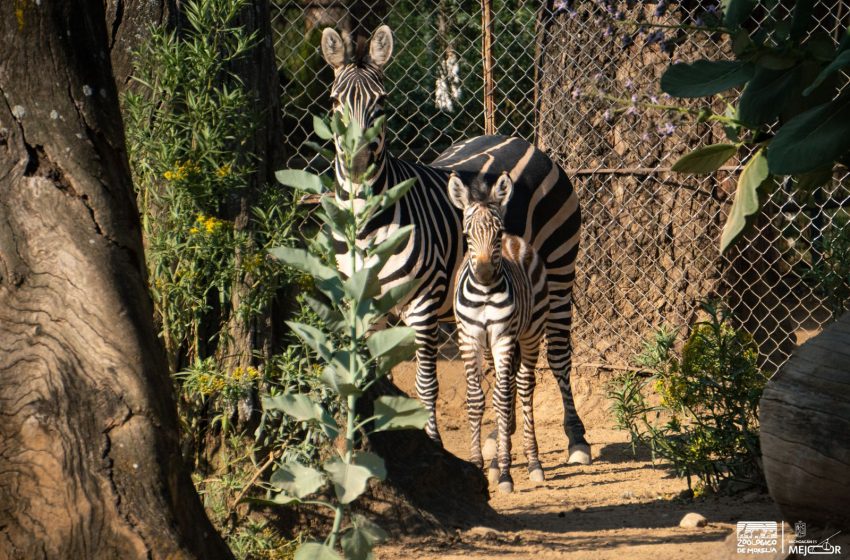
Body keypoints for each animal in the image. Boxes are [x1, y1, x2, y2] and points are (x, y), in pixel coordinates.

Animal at [450, 172, 548, 493]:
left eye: (496, 232)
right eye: (467, 234)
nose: (483, 275)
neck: (484, 294)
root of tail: (515, 240)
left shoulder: (504, 338)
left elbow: (504, 401)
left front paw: (505, 473)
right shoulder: (468, 338)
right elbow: (476, 399)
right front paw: (478, 464)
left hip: (531, 332)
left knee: (524, 386)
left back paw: (533, 462)